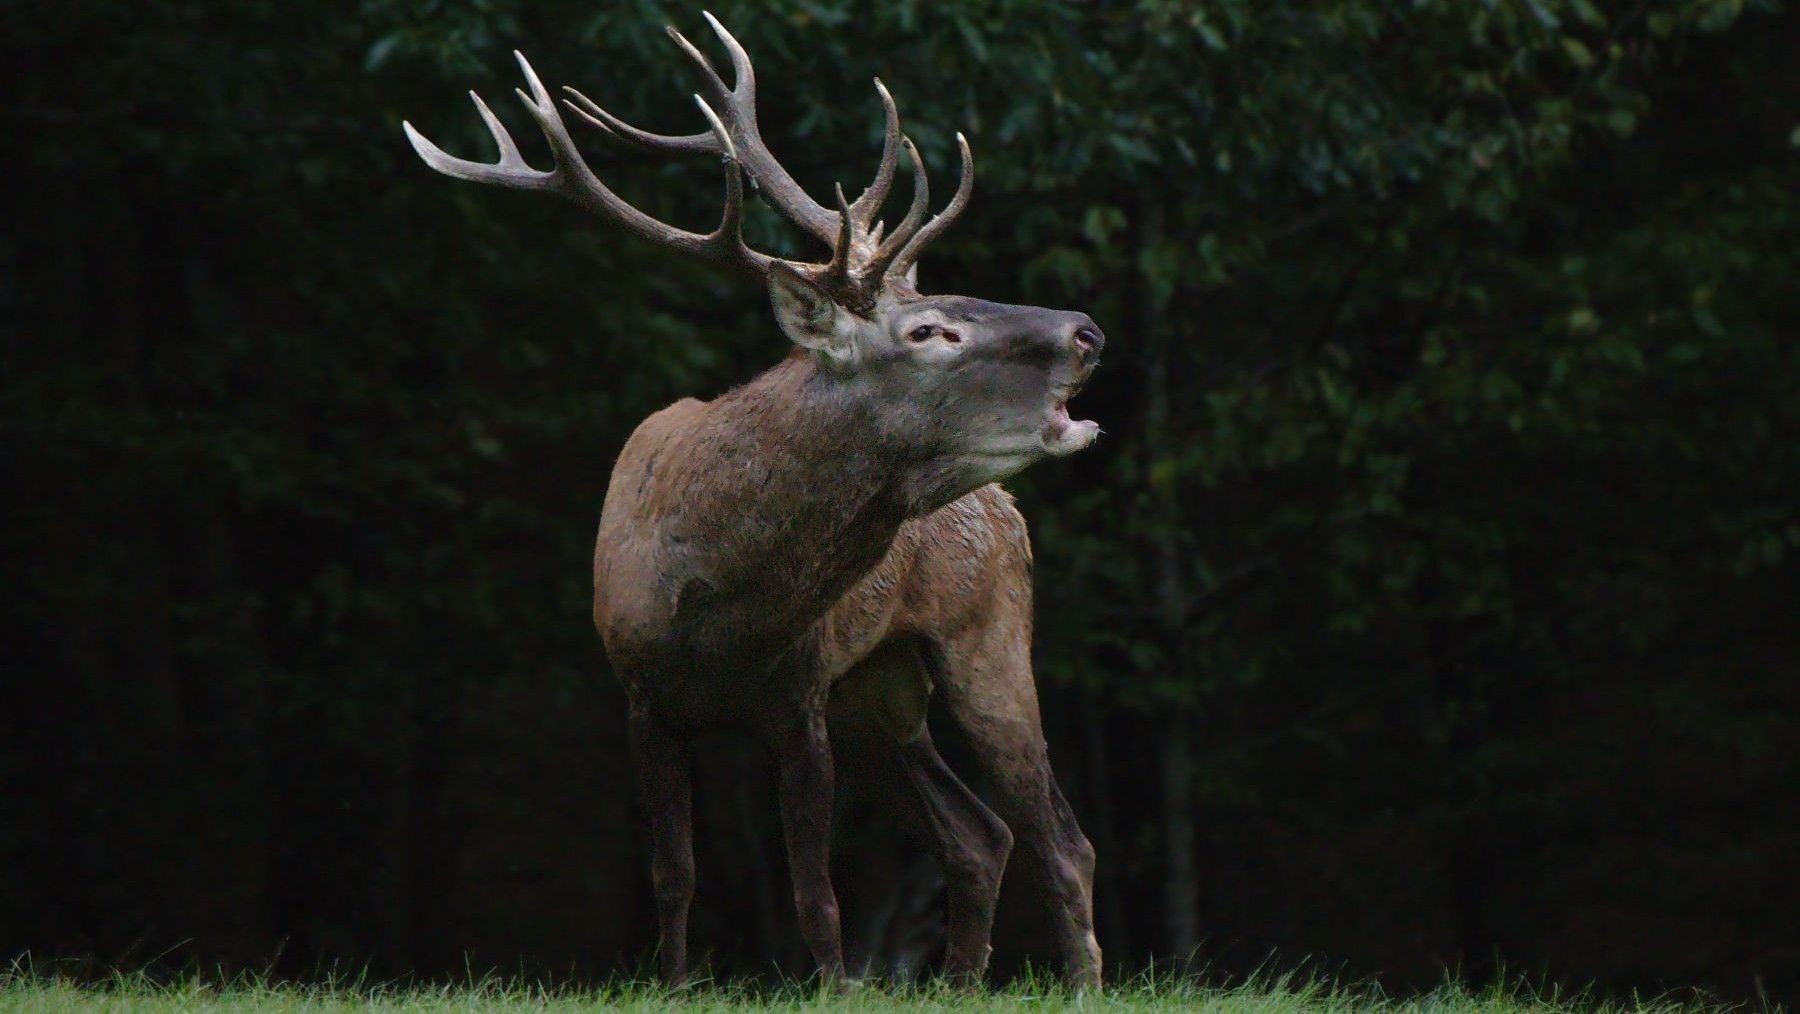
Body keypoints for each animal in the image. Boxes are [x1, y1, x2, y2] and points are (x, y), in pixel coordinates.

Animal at [403, 14, 1105, 989]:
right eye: (929, 328)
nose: (1087, 330)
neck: (721, 606)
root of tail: (1006, 510)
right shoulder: (642, 695)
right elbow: (674, 872)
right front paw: (673, 984)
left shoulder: (801, 694)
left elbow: (816, 893)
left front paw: (837, 989)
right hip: (878, 699)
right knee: (981, 835)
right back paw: (962, 981)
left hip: (985, 638)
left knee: (1062, 841)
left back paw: (1075, 983)